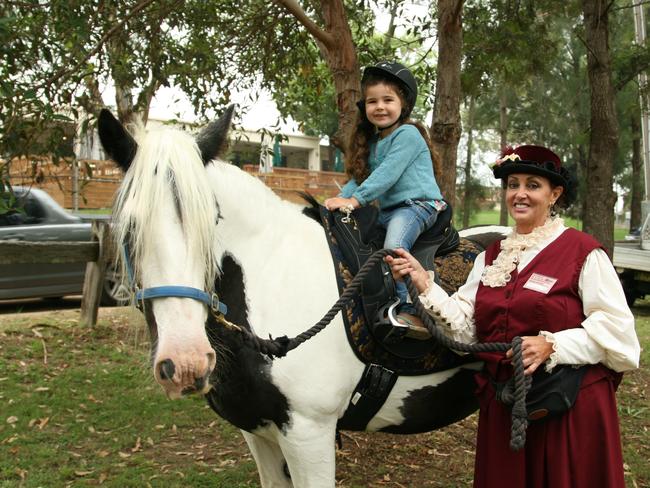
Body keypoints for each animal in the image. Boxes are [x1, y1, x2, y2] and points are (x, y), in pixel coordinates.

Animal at [98, 107, 508, 488]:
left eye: (212, 221)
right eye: (129, 227)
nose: (186, 361)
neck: (274, 277)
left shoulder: (309, 434)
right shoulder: (258, 432)